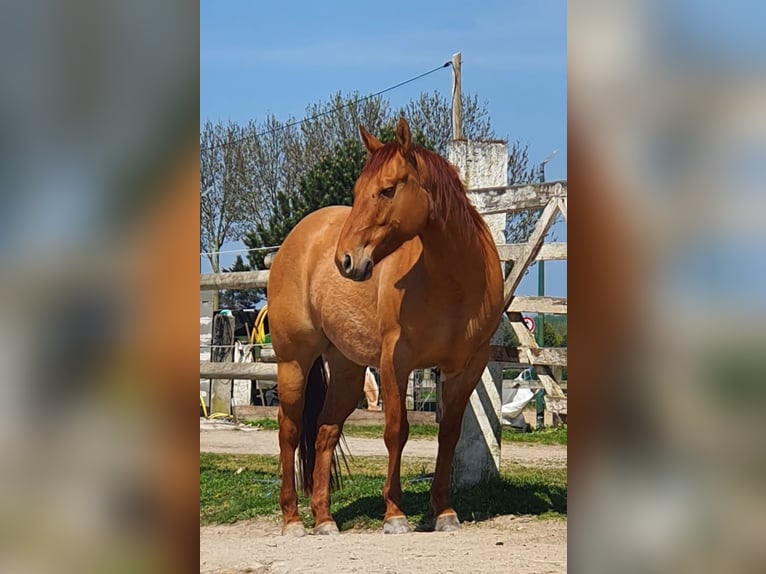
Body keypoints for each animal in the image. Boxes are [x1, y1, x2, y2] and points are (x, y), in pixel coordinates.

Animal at [267, 117, 504, 536]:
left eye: (388, 190)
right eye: (357, 191)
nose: (345, 261)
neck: (454, 283)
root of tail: (298, 237)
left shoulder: (466, 367)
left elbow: (449, 435)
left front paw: (444, 511)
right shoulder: (396, 362)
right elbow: (397, 430)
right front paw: (394, 513)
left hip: (347, 370)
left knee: (326, 431)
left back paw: (324, 519)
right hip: (293, 362)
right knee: (290, 431)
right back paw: (292, 519)